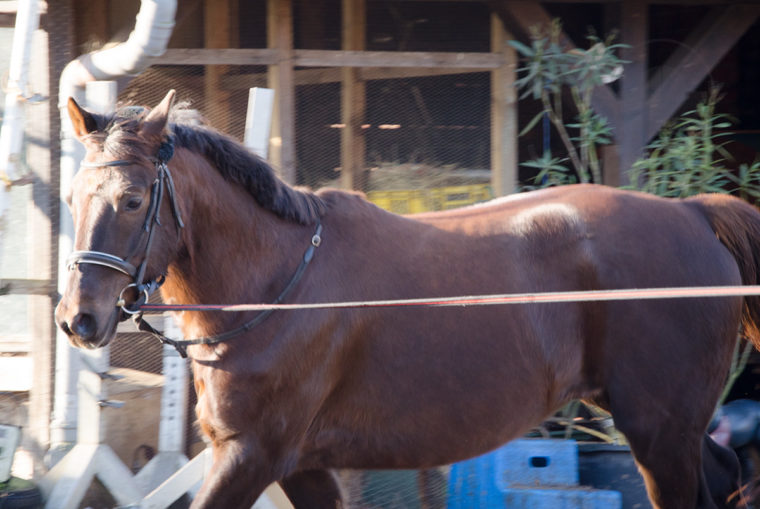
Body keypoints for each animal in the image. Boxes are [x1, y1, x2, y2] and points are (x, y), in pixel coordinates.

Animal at [56, 89, 760, 506]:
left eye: (132, 200)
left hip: (659, 430)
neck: (278, 288)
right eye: (72, 197)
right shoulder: (299, 463)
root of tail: (694, 213)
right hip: (668, 427)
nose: (78, 319)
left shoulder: (250, 452)